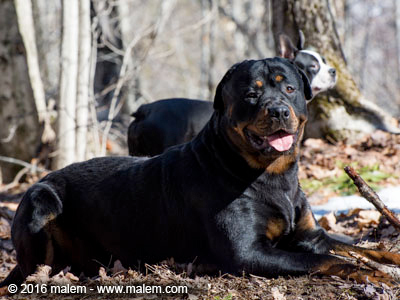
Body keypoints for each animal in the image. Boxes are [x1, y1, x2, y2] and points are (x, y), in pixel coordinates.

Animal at [1, 57, 398, 288]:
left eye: (289, 88)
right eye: (251, 95)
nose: (278, 110)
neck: (272, 177)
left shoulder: (310, 235)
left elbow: (356, 247)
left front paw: (387, 259)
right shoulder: (248, 254)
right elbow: (327, 260)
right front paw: (372, 274)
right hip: (41, 200)